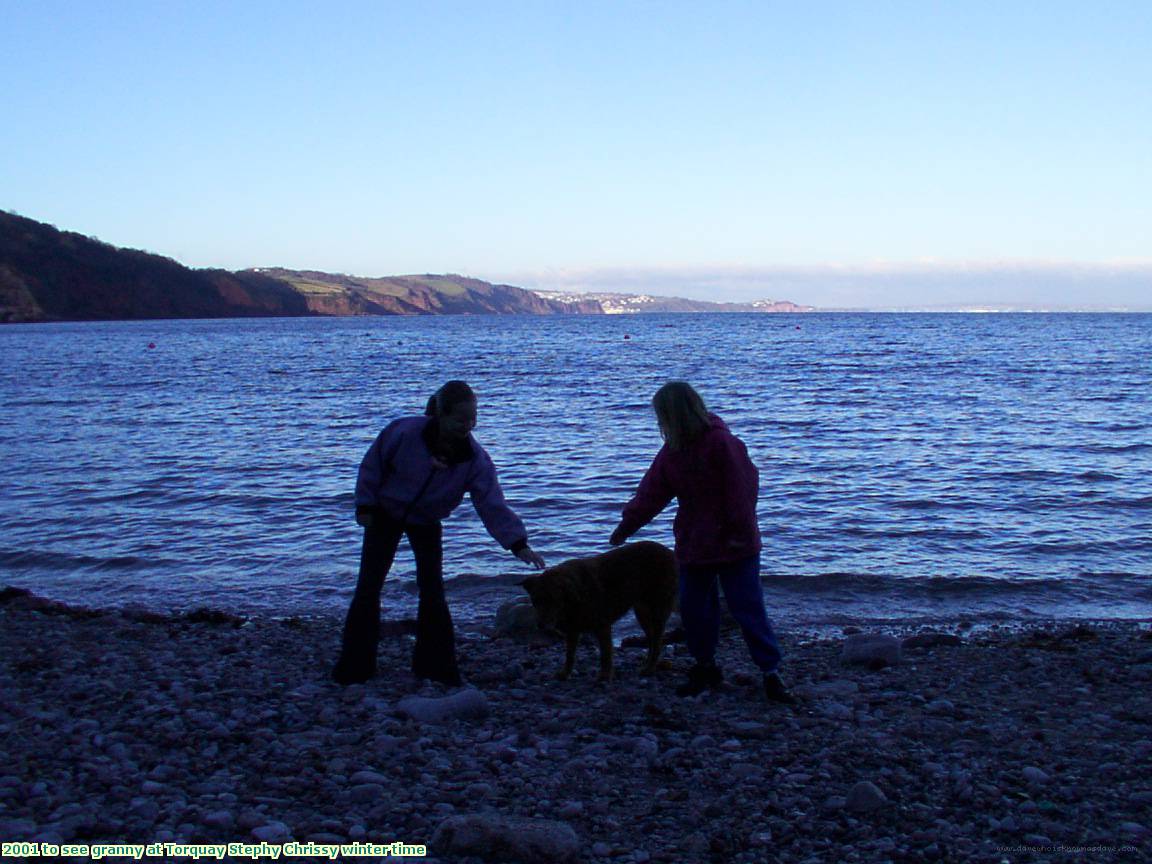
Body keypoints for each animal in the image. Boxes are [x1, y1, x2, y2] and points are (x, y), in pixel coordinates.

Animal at [520, 541, 677, 681]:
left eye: (554, 600)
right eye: (535, 600)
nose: (540, 625)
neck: (574, 598)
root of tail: (669, 552)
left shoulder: (602, 627)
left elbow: (605, 656)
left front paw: (605, 676)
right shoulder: (572, 631)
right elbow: (569, 656)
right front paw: (565, 673)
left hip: (657, 612)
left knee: (657, 643)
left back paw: (649, 668)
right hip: (642, 613)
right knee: (652, 641)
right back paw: (648, 663)